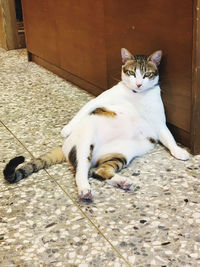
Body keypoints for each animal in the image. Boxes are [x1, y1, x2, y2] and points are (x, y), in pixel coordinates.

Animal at [3, 49, 190, 201]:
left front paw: (178, 151)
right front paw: (66, 128)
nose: (138, 84)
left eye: (146, 75)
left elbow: (169, 137)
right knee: (81, 172)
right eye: (131, 72)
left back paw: (122, 182)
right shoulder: (100, 99)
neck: (138, 96)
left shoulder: (159, 122)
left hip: (121, 153)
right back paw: (85, 190)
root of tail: (64, 146)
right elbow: (84, 109)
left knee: (98, 171)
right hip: (85, 143)